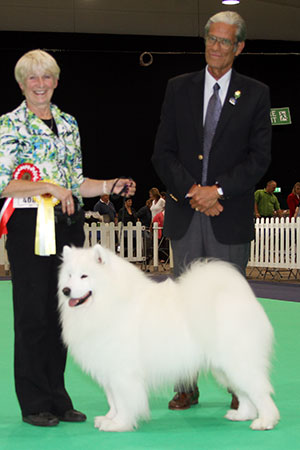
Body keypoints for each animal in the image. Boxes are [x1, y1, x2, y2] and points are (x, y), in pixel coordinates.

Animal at [58, 246, 278, 432]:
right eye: (69, 275)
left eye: (84, 276)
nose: (65, 290)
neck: (109, 302)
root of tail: (242, 298)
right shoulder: (108, 369)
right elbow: (113, 400)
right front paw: (109, 418)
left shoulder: (123, 372)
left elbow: (123, 400)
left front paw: (119, 424)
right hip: (224, 368)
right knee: (244, 393)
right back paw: (242, 415)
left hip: (238, 362)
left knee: (259, 391)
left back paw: (265, 421)